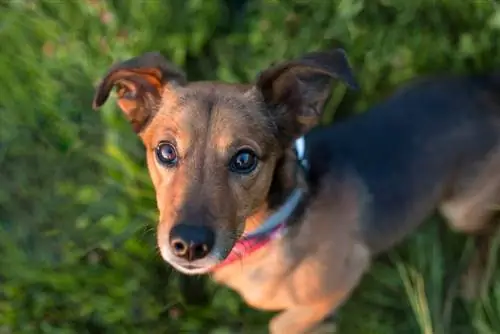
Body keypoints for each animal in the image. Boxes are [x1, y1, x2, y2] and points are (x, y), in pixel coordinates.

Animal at [93, 48, 500, 332]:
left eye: (244, 159)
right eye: (166, 151)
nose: (188, 245)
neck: (278, 221)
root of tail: (487, 86)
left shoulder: (345, 273)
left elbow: (282, 323)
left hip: (460, 211)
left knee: (488, 230)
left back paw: (473, 282)